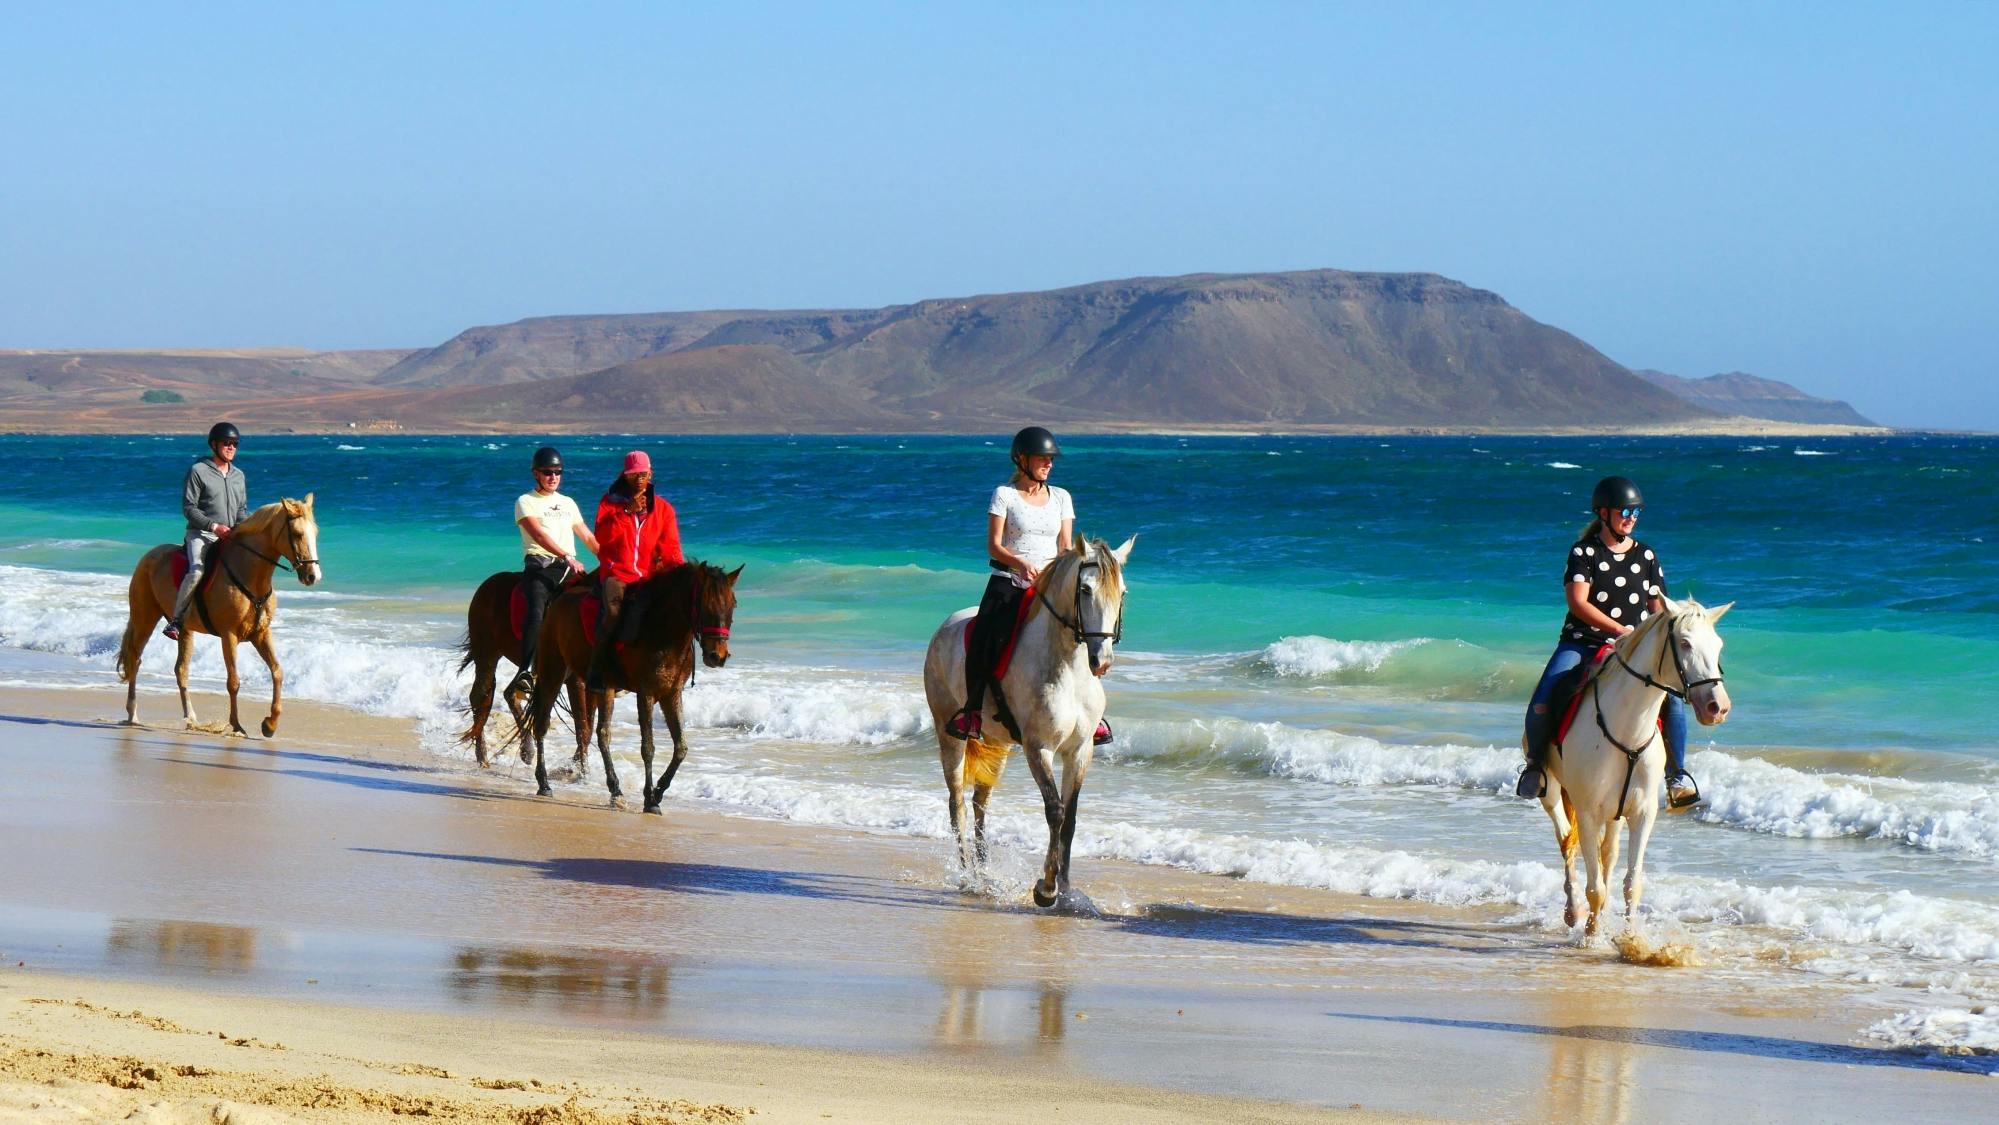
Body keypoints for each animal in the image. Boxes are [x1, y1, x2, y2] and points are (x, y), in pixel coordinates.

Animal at [115, 501, 323, 739]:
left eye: (315, 533)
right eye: (297, 534)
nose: (313, 576)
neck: (250, 575)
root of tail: (149, 556)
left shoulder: (261, 634)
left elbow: (277, 672)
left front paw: (270, 724)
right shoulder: (229, 635)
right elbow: (233, 681)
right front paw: (236, 725)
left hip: (185, 630)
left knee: (181, 670)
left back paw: (191, 718)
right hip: (144, 618)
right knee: (135, 660)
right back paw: (133, 714)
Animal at [459, 567, 591, 771]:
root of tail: (487, 584)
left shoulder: (576, 679)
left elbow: (583, 726)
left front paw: (580, 770)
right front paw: (580, 771)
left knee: (508, 692)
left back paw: (525, 750)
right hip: (486, 653)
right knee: (481, 696)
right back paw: (485, 756)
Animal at [527, 559, 747, 811]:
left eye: (732, 605)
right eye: (705, 605)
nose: (717, 656)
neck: (663, 630)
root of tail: (560, 598)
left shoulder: (671, 694)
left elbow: (681, 747)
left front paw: (659, 792)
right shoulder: (646, 693)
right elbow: (648, 747)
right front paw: (650, 799)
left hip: (601, 686)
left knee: (599, 733)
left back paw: (612, 788)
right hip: (554, 672)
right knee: (544, 725)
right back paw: (546, 784)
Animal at [923, 531, 1135, 911]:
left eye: (1122, 592)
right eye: (1085, 590)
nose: (1102, 661)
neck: (1068, 667)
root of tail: (945, 626)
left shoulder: (1080, 750)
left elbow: (1071, 817)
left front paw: (1066, 890)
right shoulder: (1039, 748)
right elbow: (1055, 810)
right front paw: (1046, 889)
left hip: (998, 743)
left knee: (980, 801)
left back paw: (986, 874)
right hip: (950, 735)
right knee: (957, 803)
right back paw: (968, 878)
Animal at [1535, 595, 1727, 939]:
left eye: (1718, 645)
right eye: (1685, 643)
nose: (1717, 708)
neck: (1627, 729)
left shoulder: (1641, 812)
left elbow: (1631, 883)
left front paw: (1630, 938)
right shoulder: (1587, 813)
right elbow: (1594, 886)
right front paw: (1591, 936)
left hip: (1615, 813)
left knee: (1607, 855)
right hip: (1554, 794)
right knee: (1567, 844)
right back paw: (1573, 912)